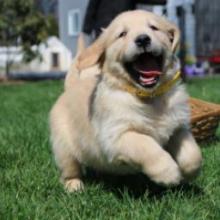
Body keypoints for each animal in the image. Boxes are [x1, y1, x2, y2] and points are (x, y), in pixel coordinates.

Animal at [49, 10, 201, 192]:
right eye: (122, 34)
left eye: (154, 27)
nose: (143, 39)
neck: (149, 97)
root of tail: (72, 86)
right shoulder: (117, 136)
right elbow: (146, 145)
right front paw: (168, 173)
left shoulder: (178, 127)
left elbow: (193, 153)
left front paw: (189, 173)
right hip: (64, 147)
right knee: (70, 169)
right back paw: (74, 186)